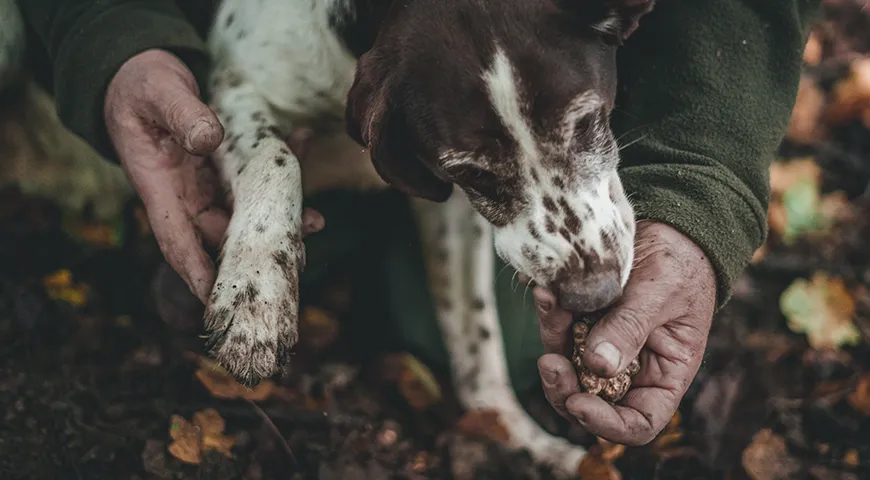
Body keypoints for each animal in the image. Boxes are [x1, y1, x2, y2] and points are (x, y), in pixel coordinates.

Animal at [204, 0, 656, 472]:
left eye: (586, 123)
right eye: (472, 173)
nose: (593, 294)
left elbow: (476, 336)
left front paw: (517, 437)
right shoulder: (234, 87)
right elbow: (274, 156)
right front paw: (256, 295)